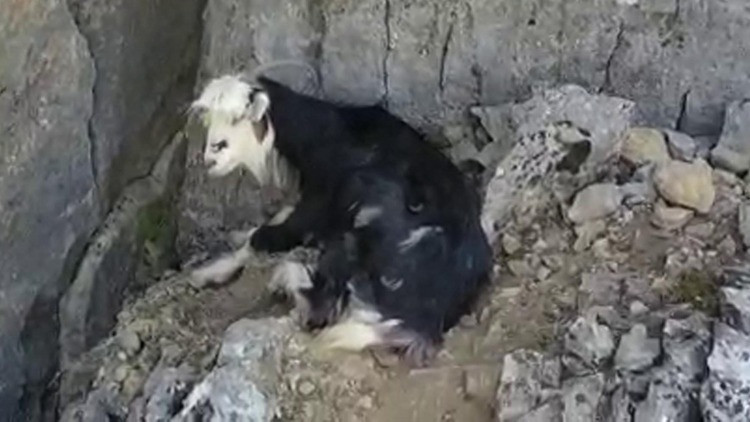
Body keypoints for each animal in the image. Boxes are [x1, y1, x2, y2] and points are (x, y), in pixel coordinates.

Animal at [189, 72, 492, 366]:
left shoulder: (318, 206)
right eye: (208, 119)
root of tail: (423, 319)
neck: (325, 135)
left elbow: (264, 238)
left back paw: (284, 279)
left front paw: (206, 273)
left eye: (238, 118)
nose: (211, 155)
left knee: (323, 300)